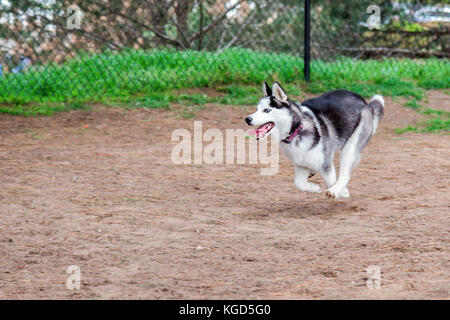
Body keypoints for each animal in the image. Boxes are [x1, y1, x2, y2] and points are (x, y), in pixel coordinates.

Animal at [244, 81, 384, 199]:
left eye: (267, 110)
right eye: (256, 109)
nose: (247, 119)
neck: (296, 130)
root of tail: (364, 102)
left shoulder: (326, 161)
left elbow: (330, 180)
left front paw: (340, 191)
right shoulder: (301, 163)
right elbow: (299, 183)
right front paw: (314, 188)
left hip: (350, 147)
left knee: (346, 171)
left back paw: (338, 188)